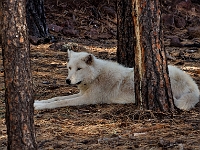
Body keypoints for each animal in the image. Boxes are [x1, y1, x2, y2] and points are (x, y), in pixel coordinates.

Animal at [34, 50, 198, 110]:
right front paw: (37, 102)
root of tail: (194, 86)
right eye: (69, 68)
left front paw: (39, 107)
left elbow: (60, 102)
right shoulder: (82, 94)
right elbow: (57, 97)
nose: (67, 81)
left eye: (79, 69)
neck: (96, 76)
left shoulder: (88, 99)